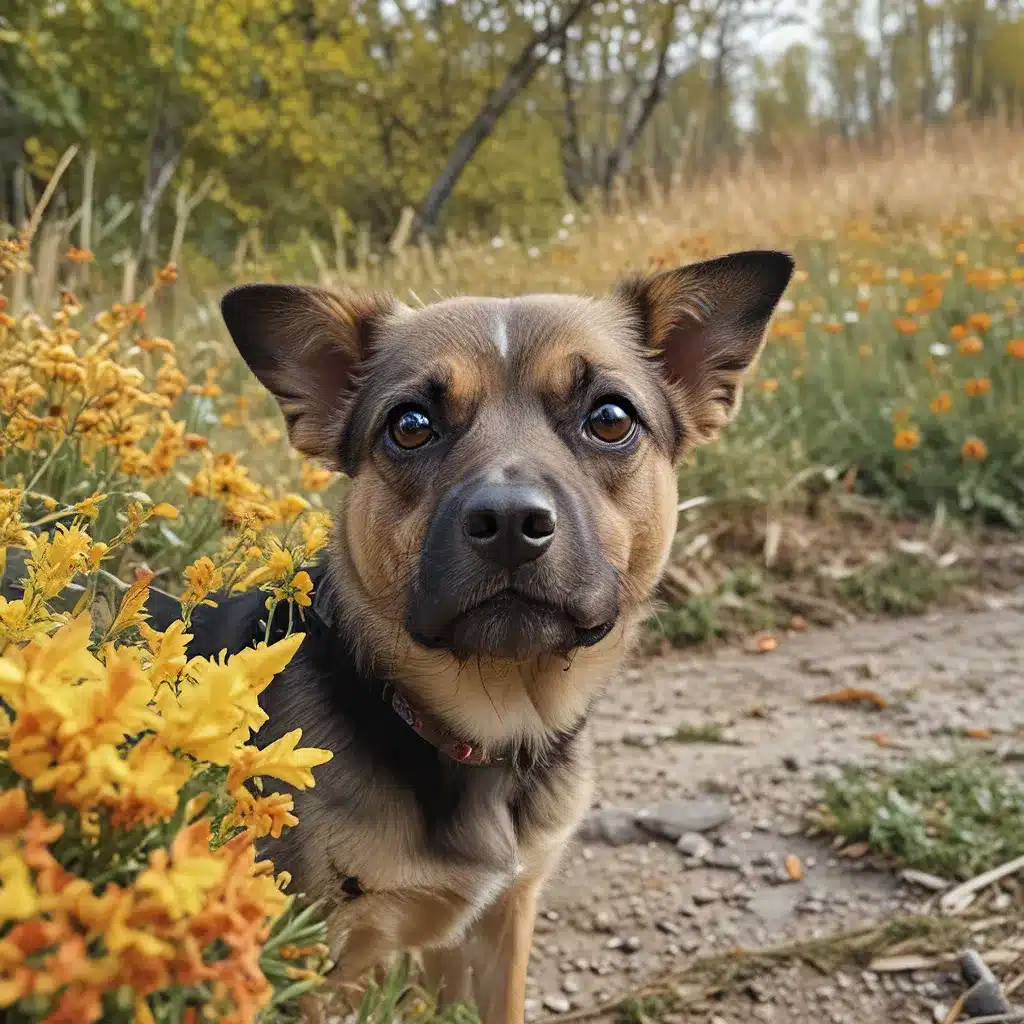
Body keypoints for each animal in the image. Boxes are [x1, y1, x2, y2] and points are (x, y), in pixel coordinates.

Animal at [169, 249, 790, 1024]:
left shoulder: (496, 922)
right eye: (410, 425)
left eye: (610, 417)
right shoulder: (303, 963)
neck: (490, 726)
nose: (510, 523)